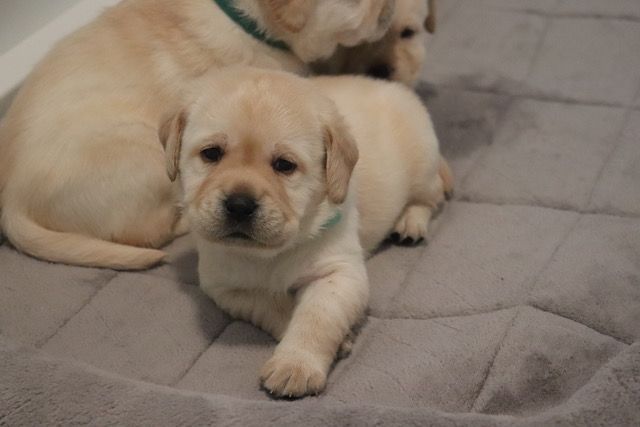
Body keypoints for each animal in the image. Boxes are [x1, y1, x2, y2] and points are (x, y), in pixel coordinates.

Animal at [162, 67, 452, 398]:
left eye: (284, 165)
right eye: (211, 153)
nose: (239, 205)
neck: (269, 254)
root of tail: (399, 90)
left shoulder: (339, 273)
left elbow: (316, 317)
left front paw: (296, 366)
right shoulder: (226, 288)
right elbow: (276, 307)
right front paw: (333, 341)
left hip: (423, 166)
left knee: (431, 196)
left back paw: (410, 222)